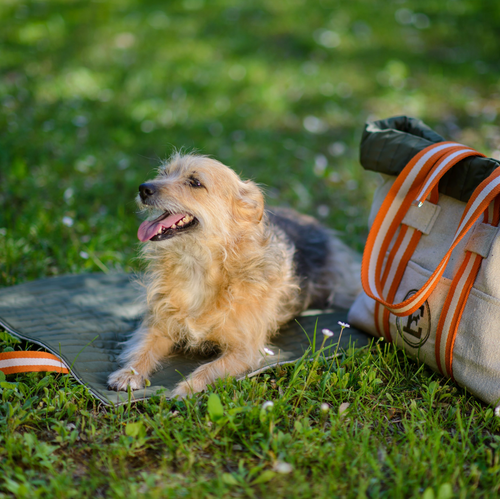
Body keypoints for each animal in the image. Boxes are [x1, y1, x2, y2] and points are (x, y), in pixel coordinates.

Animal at [107, 154, 362, 396]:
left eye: (195, 182)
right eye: (163, 173)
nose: (143, 188)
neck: (199, 266)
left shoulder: (245, 350)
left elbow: (209, 369)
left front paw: (187, 388)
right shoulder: (158, 325)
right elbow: (142, 348)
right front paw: (128, 374)